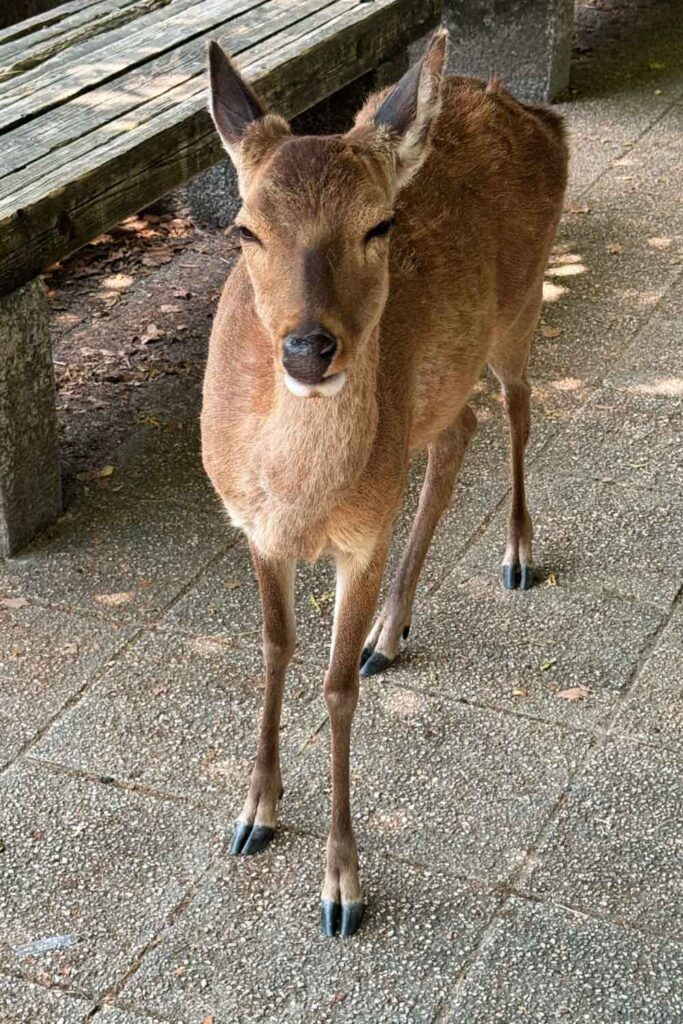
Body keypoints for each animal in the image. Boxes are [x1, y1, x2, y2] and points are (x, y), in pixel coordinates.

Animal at [200, 32, 569, 937]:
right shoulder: (251, 528)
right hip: (440, 386)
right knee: (459, 431)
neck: (297, 500)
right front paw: (254, 813)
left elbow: (333, 690)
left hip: (521, 304)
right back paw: (390, 633)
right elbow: (274, 647)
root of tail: (536, 112)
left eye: (379, 224)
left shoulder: (363, 537)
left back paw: (515, 553)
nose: (308, 349)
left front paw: (342, 887)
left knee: (518, 406)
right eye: (245, 229)